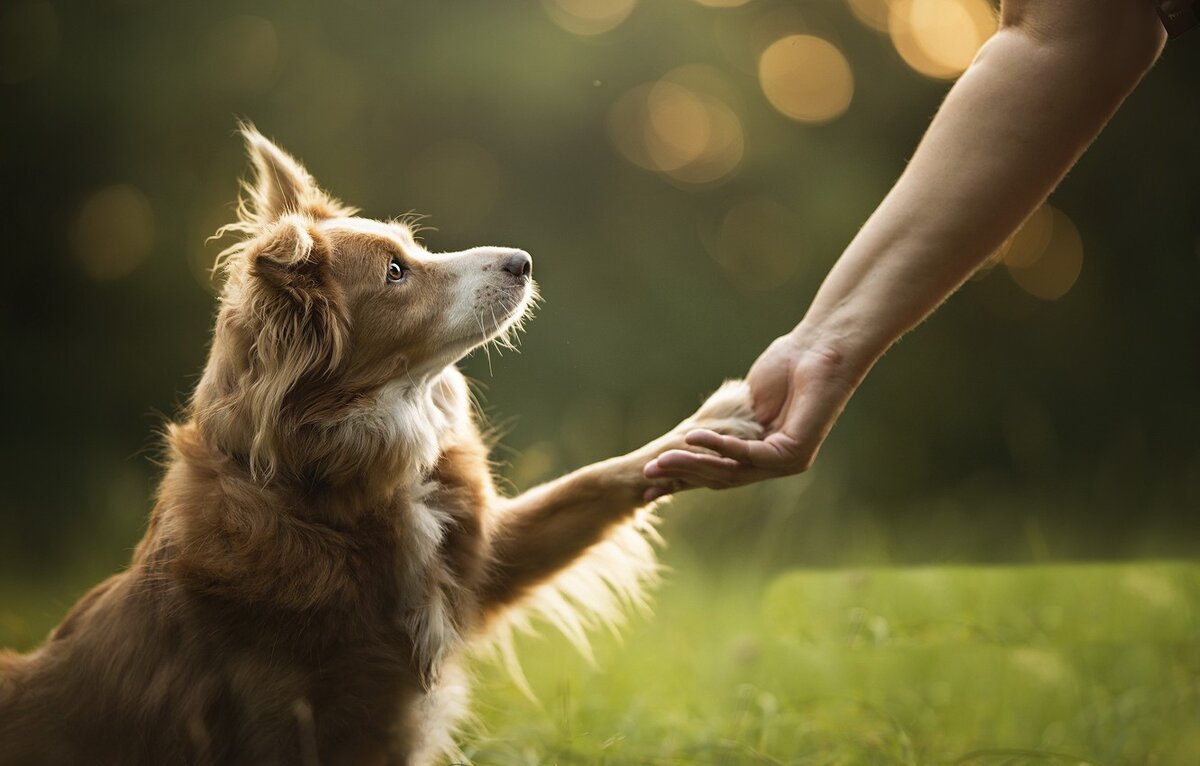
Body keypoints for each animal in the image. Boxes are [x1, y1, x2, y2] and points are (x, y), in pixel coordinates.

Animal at [0, 129, 758, 763]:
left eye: (412, 250)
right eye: (396, 273)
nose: (523, 261)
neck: (335, 495)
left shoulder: (482, 560)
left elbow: (595, 481)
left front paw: (724, 420)